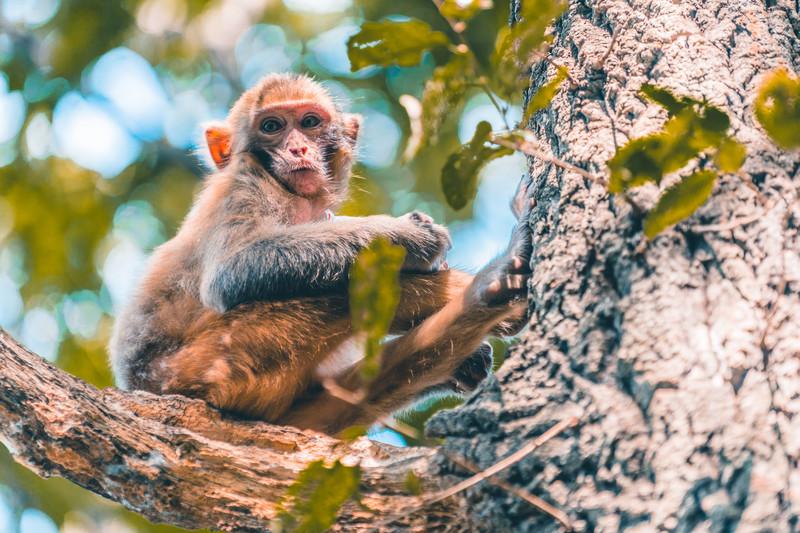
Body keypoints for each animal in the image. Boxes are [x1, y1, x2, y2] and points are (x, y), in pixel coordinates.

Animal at [108, 72, 532, 434]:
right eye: (272, 127)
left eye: (310, 122)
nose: (298, 147)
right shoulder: (244, 186)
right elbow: (234, 269)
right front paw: (411, 235)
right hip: (212, 365)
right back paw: (488, 289)